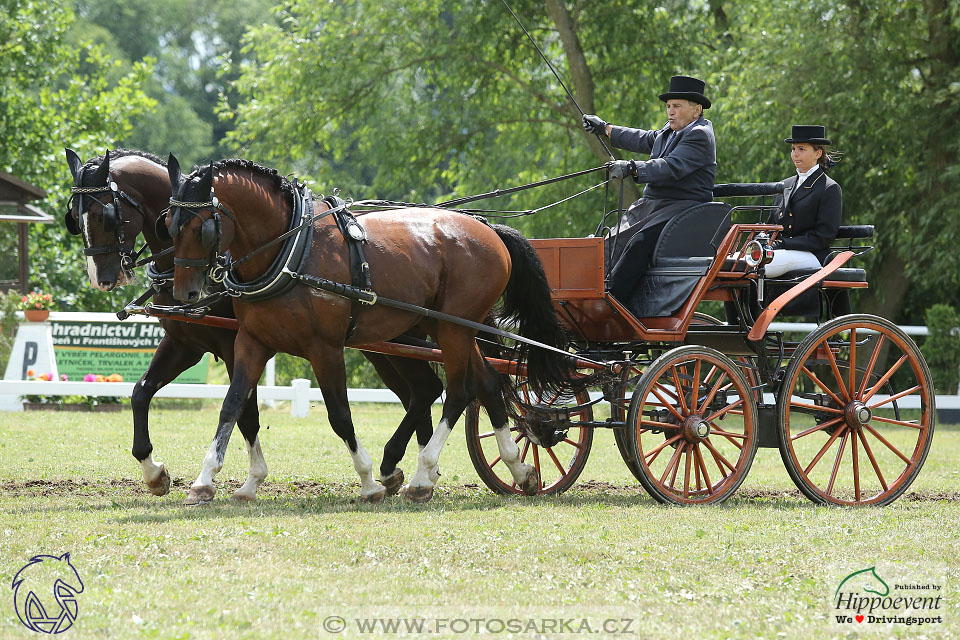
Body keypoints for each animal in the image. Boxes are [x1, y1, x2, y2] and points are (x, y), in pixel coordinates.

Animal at [62, 148, 444, 502]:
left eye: (106, 215)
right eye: (75, 218)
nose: (101, 279)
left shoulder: (234, 347)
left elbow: (247, 413)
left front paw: (246, 478)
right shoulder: (186, 345)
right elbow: (142, 392)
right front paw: (155, 473)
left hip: (399, 342)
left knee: (426, 391)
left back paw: (410, 469)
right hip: (386, 346)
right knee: (424, 392)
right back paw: (412, 471)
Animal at [164, 158, 572, 502]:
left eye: (201, 228)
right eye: (169, 224)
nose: (184, 293)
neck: (291, 248)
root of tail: (487, 229)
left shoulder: (324, 348)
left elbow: (340, 415)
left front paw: (368, 481)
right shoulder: (252, 343)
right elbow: (232, 406)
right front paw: (210, 481)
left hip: (453, 329)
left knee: (459, 391)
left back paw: (421, 477)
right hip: (447, 327)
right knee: (485, 382)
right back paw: (518, 469)